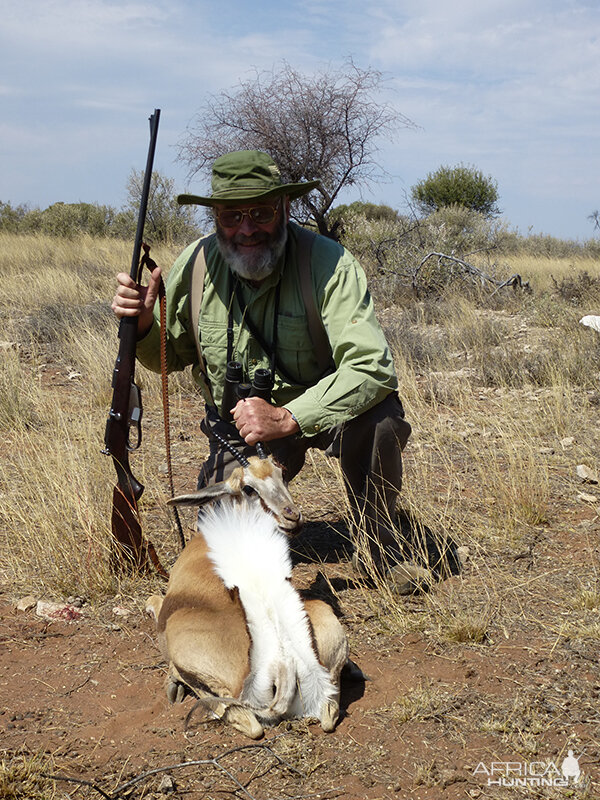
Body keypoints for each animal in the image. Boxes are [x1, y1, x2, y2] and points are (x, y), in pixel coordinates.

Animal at [145, 446, 350, 736]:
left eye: (281, 473)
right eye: (249, 488)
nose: (292, 516)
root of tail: (283, 661)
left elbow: (152, 599)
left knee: (245, 720)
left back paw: (174, 684)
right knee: (329, 716)